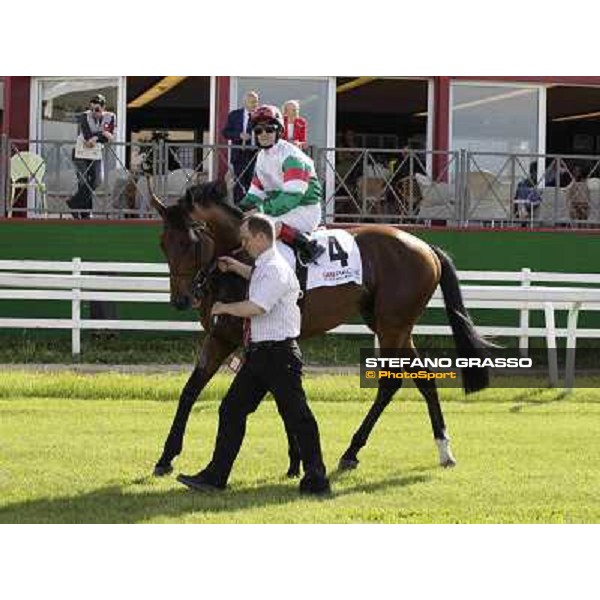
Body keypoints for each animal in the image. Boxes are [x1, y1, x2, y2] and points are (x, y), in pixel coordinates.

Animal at [149, 182, 492, 478]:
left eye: (191, 242)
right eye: (163, 244)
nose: (181, 300)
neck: (238, 261)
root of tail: (426, 247)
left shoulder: (251, 337)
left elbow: (279, 395)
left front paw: (296, 460)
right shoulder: (221, 336)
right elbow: (191, 390)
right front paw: (165, 457)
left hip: (392, 326)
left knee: (389, 384)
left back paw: (352, 451)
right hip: (393, 325)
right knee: (424, 378)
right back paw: (443, 449)